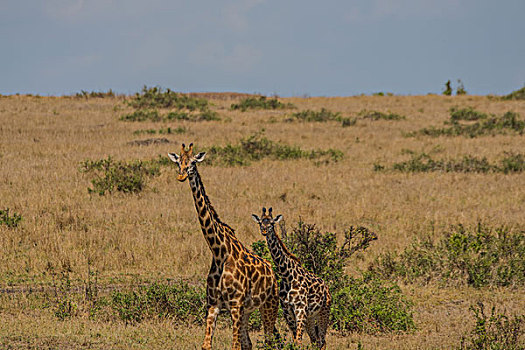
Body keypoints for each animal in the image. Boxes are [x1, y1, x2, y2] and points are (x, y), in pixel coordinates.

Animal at [170, 143, 280, 350]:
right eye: (179, 161)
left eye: (193, 162)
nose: (181, 176)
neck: (220, 252)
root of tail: (272, 270)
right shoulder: (213, 304)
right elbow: (207, 345)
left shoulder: (235, 304)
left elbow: (234, 346)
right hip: (247, 310)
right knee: (248, 343)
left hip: (270, 304)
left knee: (269, 340)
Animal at [251, 208, 332, 350]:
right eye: (260, 222)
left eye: (272, 223)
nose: (264, 231)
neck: (287, 276)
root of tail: (327, 289)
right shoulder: (288, 312)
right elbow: (295, 340)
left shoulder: (300, 310)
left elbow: (298, 341)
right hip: (311, 318)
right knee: (315, 340)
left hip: (324, 312)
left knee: (322, 340)